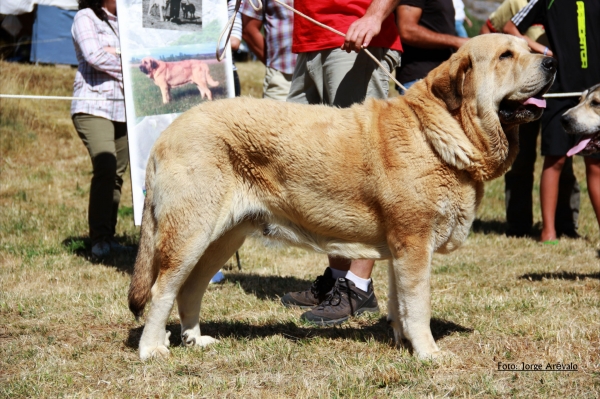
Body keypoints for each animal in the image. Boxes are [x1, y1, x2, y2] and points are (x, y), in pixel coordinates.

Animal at [129, 34, 556, 360]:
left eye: (528, 48)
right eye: (505, 56)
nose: (551, 61)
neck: (439, 131)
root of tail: (166, 133)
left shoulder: (401, 249)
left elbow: (400, 303)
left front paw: (402, 342)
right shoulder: (414, 244)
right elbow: (418, 305)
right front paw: (429, 353)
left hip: (222, 237)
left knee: (190, 288)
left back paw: (195, 339)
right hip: (190, 234)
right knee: (162, 289)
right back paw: (152, 349)